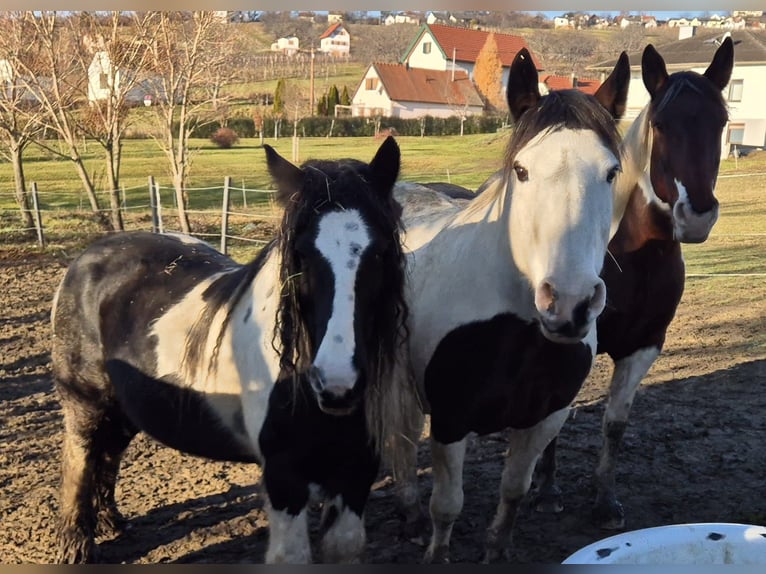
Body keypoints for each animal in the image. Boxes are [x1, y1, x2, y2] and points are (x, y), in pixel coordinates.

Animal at [50, 136, 411, 564]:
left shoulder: (355, 475)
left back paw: (111, 523)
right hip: (85, 402)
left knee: (108, 454)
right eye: (301, 255)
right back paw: (76, 544)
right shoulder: (284, 480)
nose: (337, 385)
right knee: (80, 457)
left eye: (380, 253)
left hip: (124, 408)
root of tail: (89, 257)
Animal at [389, 47, 631, 563]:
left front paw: (497, 550)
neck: (514, 328)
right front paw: (436, 554)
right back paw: (411, 517)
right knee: (400, 443)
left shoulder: (545, 418)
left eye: (611, 172)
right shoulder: (450, 420)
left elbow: (514, 490)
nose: (569, 303)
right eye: (521, 170)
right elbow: (448, 506)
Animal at [534, 37, 735, 530]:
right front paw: (547, 491)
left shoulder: (645, 346)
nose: (696, 215)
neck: (633, 258)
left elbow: (615, 424)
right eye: (661, 124)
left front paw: (605, 501)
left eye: (721, 122)